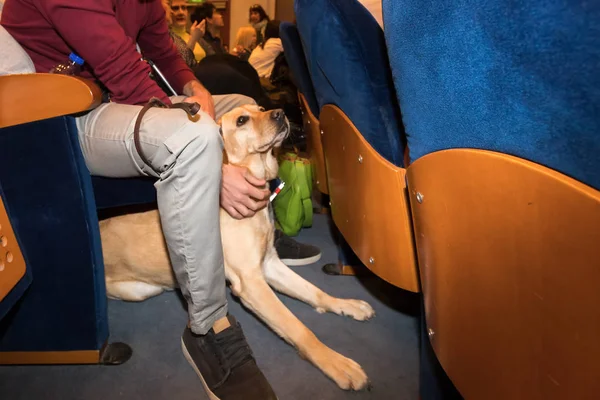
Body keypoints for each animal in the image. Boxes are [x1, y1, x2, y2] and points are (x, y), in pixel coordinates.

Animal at [102, 105, 376, 390]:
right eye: (242, 120)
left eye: (260, 109)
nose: (280, 113)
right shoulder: (251, 283)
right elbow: (297, 327)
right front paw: (335, 362)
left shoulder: (270, 265)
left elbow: (315, 292)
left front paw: (345, 305)